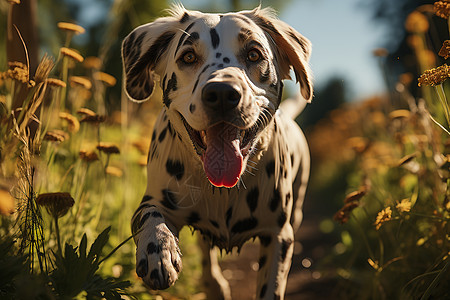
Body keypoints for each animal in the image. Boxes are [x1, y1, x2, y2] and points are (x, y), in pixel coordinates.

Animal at [123, 5, 312, 300]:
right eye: (188, 56)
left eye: (254, 54)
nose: (222, 93)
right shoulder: (155, 200)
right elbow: (149, 215)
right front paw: (158, 250)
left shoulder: (278, 235)